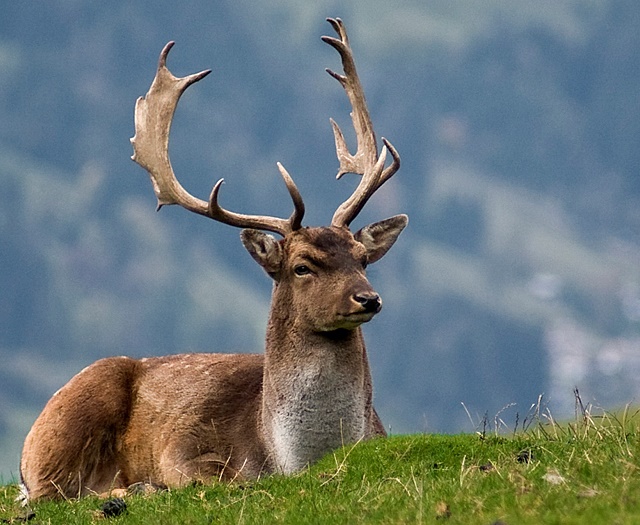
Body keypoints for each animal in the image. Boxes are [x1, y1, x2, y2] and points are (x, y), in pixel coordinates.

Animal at [21, 17, 410, 500]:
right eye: (302, 266)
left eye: (362, 258)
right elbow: (213, 480)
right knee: (53, 493)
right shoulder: (184, 450)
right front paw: (150, 486)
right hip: (64, 426)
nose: (368, 299)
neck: (286, 457)